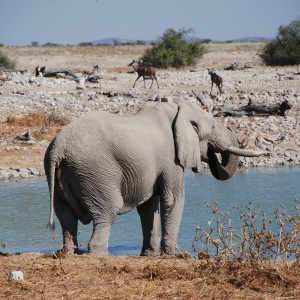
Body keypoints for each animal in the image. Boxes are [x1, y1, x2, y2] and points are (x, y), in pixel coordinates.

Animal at [44, 99, 264, 255]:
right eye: (212, 127)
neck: (177, 108)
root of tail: (58, 147)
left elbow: (148, 207)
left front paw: (150, 254)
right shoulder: (171, 159)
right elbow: (173, 200)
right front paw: (172, 254)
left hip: (58, 175)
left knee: (65, 216)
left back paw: (70, 252)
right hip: (95, 173)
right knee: (106, 212)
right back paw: (97, 253)